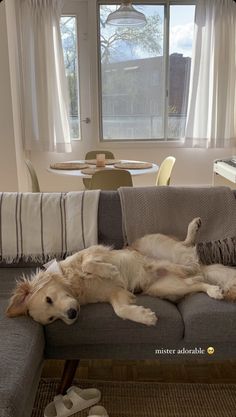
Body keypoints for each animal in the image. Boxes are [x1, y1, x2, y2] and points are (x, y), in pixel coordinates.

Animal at [6, 218, 236, 324]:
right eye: (51, 319)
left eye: (48, 299)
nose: (71, 314)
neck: (76, 285)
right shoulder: (114, 293)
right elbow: (121, 310)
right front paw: (144, 316)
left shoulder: (93, 251)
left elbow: (88, 264)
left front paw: (108, 270)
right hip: (165, 287)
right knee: (196, 282)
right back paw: (213, 289)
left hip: (154, 243)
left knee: (185, 246)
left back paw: (192, 231)